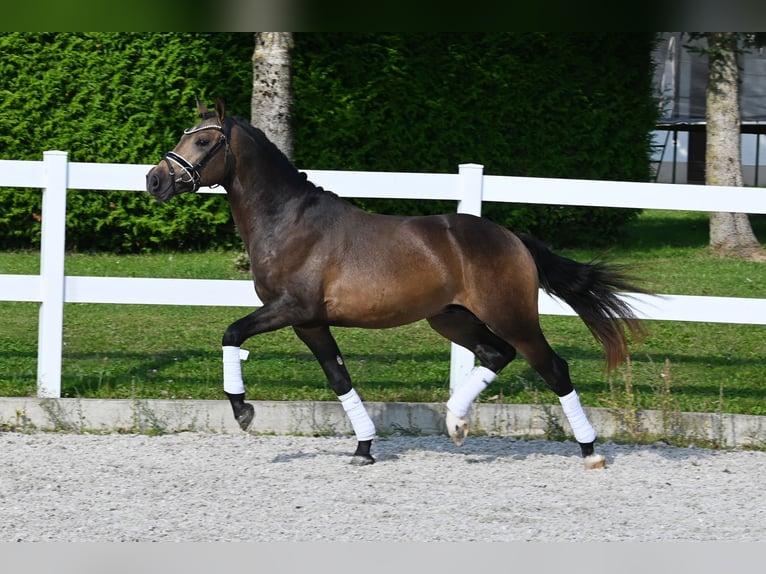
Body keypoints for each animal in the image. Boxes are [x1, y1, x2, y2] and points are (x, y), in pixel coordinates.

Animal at [147, 101, 652, 470]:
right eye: (183, 134)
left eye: (204, 139)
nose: (154, 180)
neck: (289, 221)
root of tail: (512, 237)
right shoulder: (311, 322)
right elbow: (339, 377)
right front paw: (364, 449)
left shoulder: (291, 309)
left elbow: (231, 333)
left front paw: (243, 412)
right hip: (451, 319)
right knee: (496, 355)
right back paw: (455, 423)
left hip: (512, 316)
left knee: (553, 369)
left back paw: (590, 452)